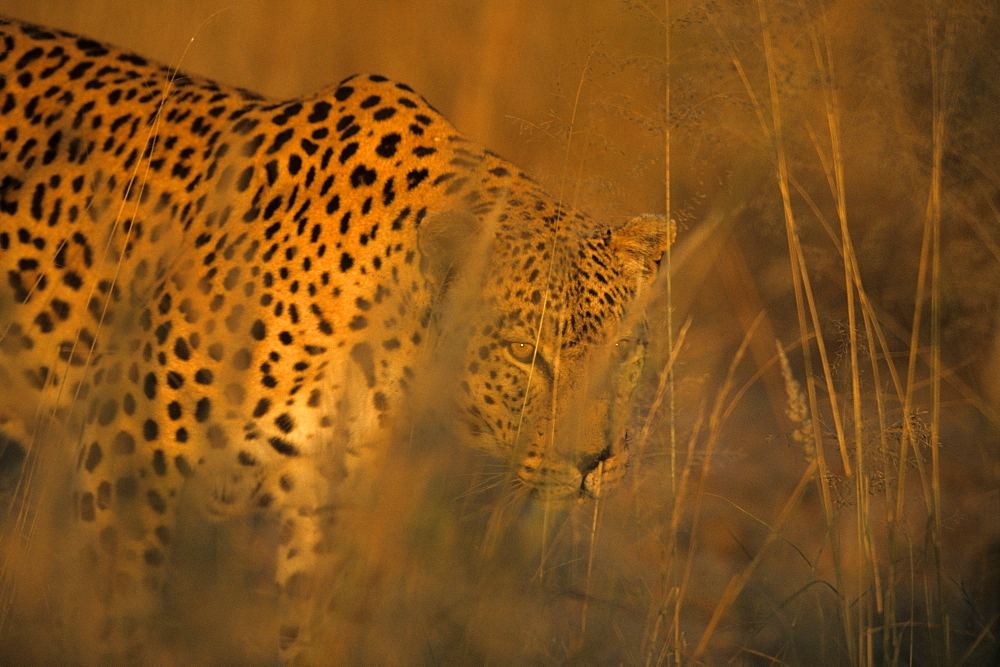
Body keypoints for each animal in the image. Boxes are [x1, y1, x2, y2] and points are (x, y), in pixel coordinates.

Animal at [0, 14, 676, 664]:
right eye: (522, 353)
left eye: (625, 353)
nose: (593, 463)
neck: (391, 343)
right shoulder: (126, 467)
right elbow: (121, 621)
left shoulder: (327, 510)